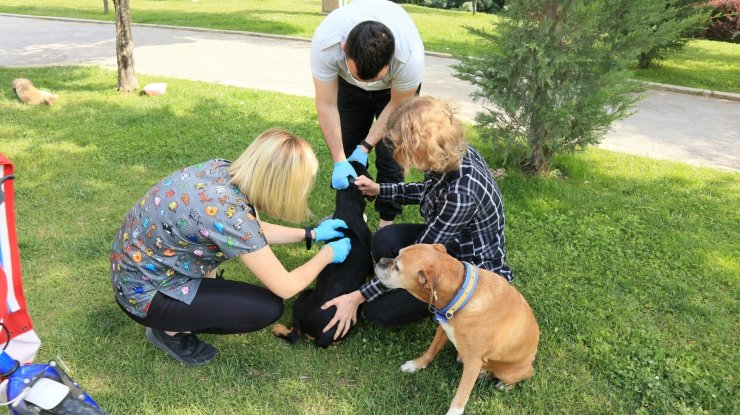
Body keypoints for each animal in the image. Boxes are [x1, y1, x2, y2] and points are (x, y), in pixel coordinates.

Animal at [376, 244, 536, 415]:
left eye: (397, 267)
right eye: (397, 254)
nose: (380, 261)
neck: (461, 293)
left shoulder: (473, 363)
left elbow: (461, 394)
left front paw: (453, 411)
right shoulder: (443, 329)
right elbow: (430, 351)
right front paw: (415, 365)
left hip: (510, 371)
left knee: (522, 376)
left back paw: (505, 385)